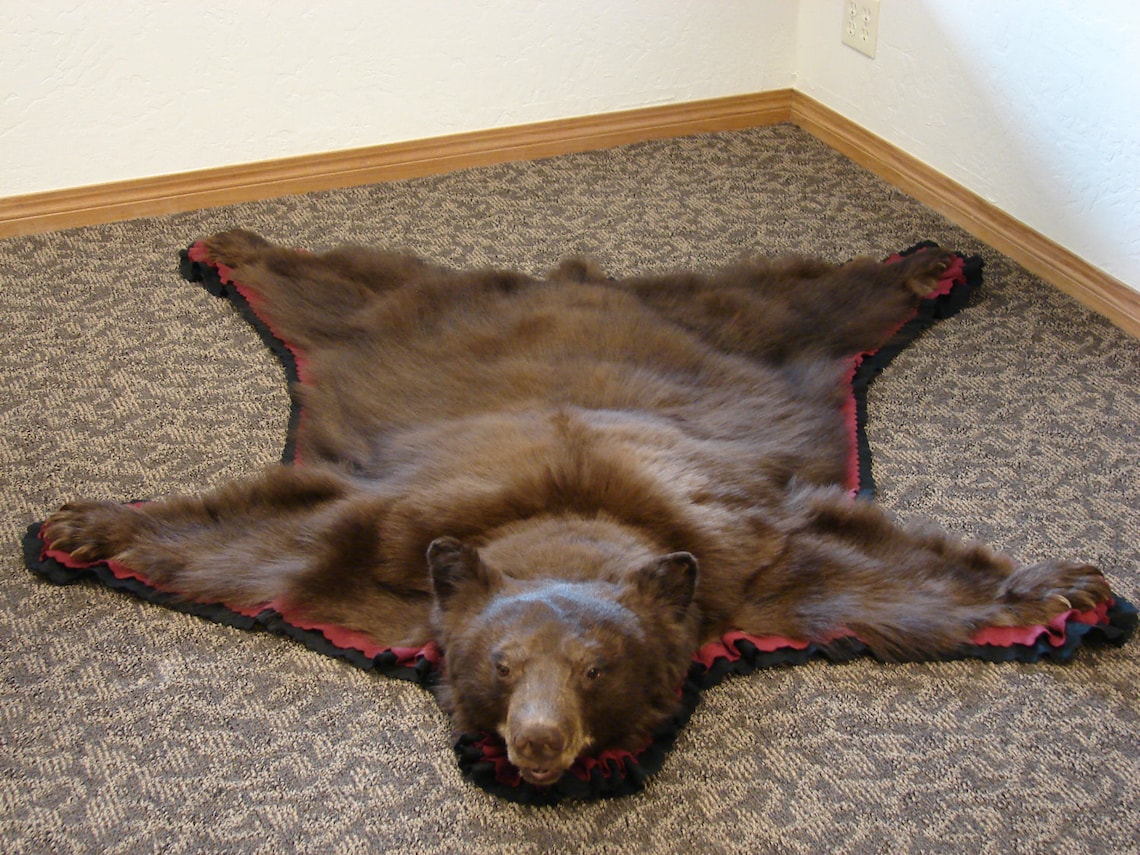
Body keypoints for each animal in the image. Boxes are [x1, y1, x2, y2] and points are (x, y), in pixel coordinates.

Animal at [42, 229, 1110, 788]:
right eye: (502, 662)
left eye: (598, 669)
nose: (538, 740)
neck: (566, 521)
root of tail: (567, 282)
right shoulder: (377, 549)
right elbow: (256, 540)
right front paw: (84, 525)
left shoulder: (746, 560)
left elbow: (875, 574)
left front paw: (1058, 588)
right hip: (387, 328)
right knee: (333, 288)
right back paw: (236, 242)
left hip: (750, 339)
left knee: (811, 303)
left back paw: (922, 264)